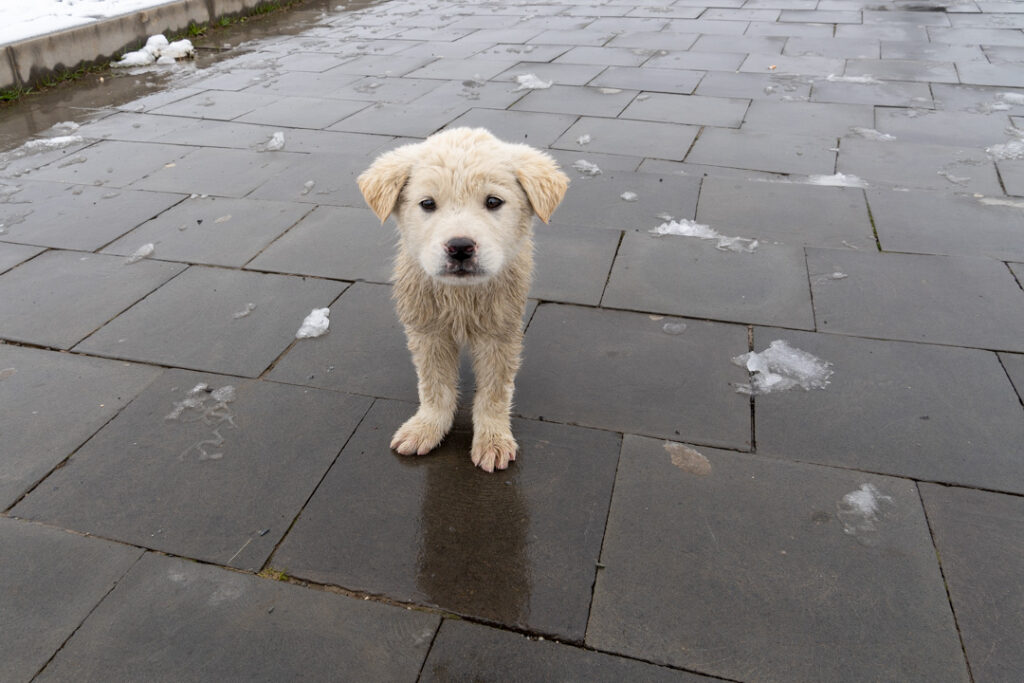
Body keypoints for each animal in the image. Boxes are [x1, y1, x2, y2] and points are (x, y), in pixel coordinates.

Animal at [358, 126, 569, 471]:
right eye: (427, 203)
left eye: (493, 201)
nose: (460, 248)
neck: (460, 296)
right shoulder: (428, 331)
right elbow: (434, 386)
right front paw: (426, 427)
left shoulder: (500, 332)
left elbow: (495, 392)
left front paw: (493, 439)